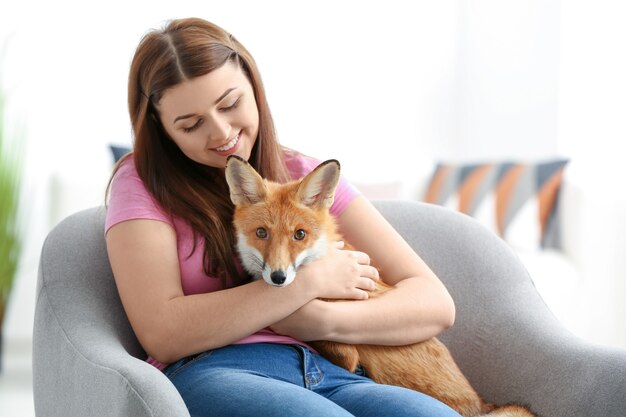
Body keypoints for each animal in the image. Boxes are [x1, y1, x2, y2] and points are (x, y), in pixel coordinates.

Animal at [224, 155, 536, 416]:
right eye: (262, 233)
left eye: (299, 234)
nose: (278, 277)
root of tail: (481, 404)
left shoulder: (345, 352)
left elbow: (331, 345)